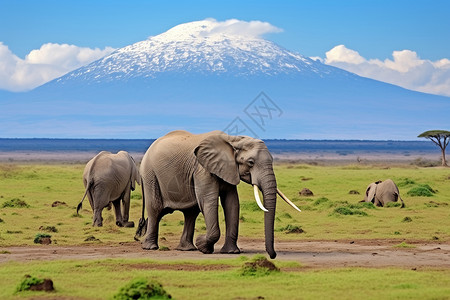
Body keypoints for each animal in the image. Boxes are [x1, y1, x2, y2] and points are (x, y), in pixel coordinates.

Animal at [135, 130, 300, 258]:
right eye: (251, 162)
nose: (273, 256)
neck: (233, 139)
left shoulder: (228, 169)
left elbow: (232, 202)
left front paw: (231, 252)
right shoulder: (202, 169)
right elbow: (208, 200)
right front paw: (203, 246)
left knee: (190, 212)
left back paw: (187, 249)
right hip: (150, 175)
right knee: (156, 209)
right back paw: (150, 247)